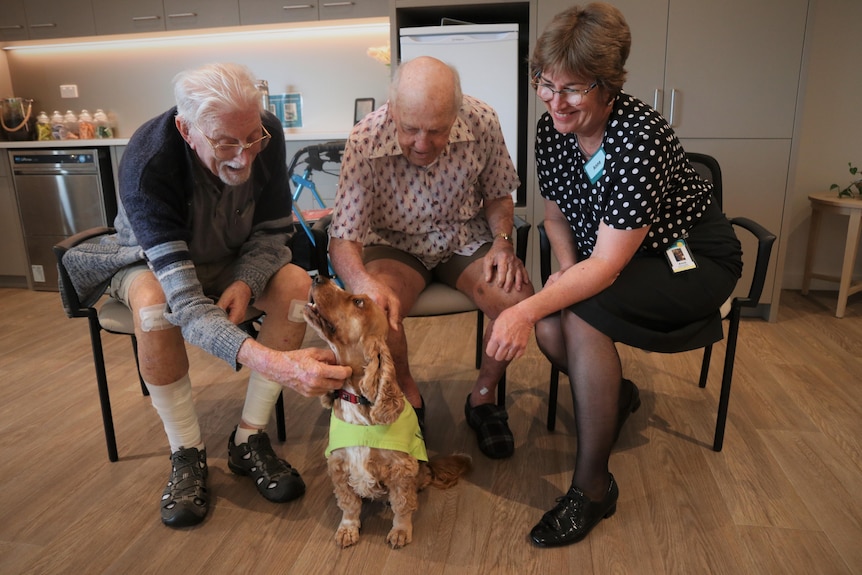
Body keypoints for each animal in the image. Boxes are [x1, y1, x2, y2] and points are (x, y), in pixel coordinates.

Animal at [306, 274, 472, 548]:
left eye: (358, 302)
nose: (319, 276)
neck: (356, 399)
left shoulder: (401, 468)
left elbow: (402, 504)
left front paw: (401, 531)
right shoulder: (338, 464)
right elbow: (348, 504)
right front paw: (348, 528)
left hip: (419, 469)